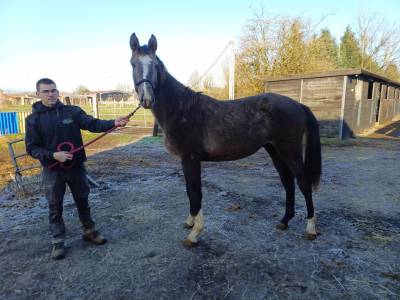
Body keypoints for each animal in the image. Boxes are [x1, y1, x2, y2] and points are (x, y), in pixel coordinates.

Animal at [128, 34, 322, 247]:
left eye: (155, 65)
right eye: (132, 63)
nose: (146, 99)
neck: (181, 110)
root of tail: (297, 105)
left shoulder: (191, 159)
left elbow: (196, 192)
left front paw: (195, 233)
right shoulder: (185, 160)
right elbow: (189, 190)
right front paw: (190, 222)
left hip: (290, 151)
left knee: (303, 183)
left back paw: (311, 229)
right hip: (275, 150)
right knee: (287, 182)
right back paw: (284, 221)